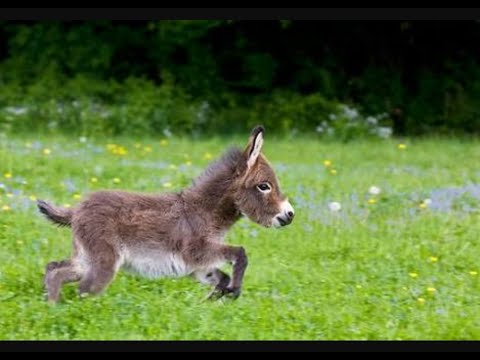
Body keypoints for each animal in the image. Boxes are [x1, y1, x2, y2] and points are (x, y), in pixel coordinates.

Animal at [38, 125, 292, 302]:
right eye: (264, 186)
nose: (290, 215)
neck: (205, 212)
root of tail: (76, 210)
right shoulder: (197, 252)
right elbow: (240, 253)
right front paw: (233, 292)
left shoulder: (198, 267)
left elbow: (222, 277)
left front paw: (213, 300)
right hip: (103, 262)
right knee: (83, 290)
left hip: (85, 257)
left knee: (54, 270)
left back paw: (52, 307)